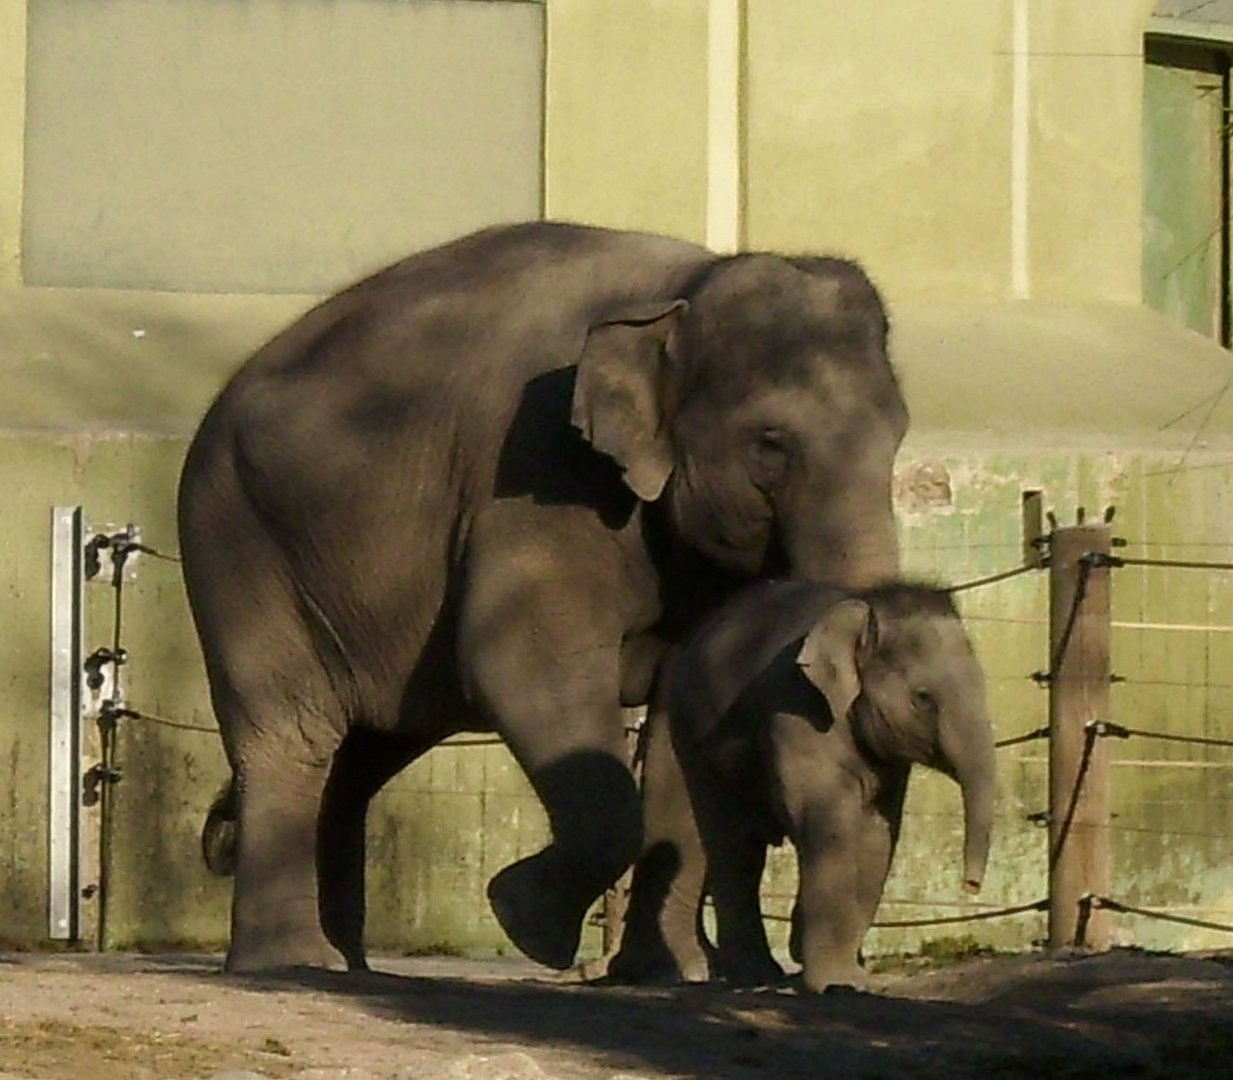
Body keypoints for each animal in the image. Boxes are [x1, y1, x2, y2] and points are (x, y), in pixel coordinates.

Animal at [178, 219, 907, 971]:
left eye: (898, 434)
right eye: (770, 443)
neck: (686, 287)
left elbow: (679, 713)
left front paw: (667, 972)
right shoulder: (538, 468)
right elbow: (524, 668)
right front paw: (524, 918)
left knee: (362, 756)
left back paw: (350, 965)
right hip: (237, 542)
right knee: (291, 733)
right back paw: (291, 962)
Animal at [616, 576, 991, 991]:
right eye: (922, 698)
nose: (971, 886)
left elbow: (877, 833)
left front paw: (846, 976)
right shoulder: (797, 710)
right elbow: (827, 822)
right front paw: (835, 984)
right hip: (693, 736)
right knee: (734, 847)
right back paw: (752, 975)